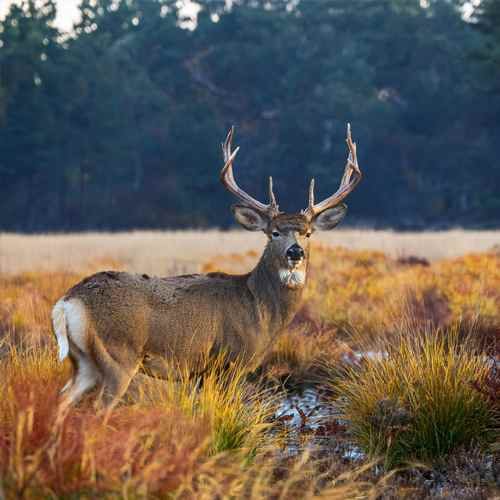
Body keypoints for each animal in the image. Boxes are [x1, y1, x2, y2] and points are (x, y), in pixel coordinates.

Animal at [50, 124, 362, 406]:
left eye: (308, 233)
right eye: (274, 232)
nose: (295, 252)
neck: (259, 308)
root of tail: (67, 301)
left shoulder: (201, 372)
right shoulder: (231, 360)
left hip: (84, 361)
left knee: (62, 401)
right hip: (118, 354)